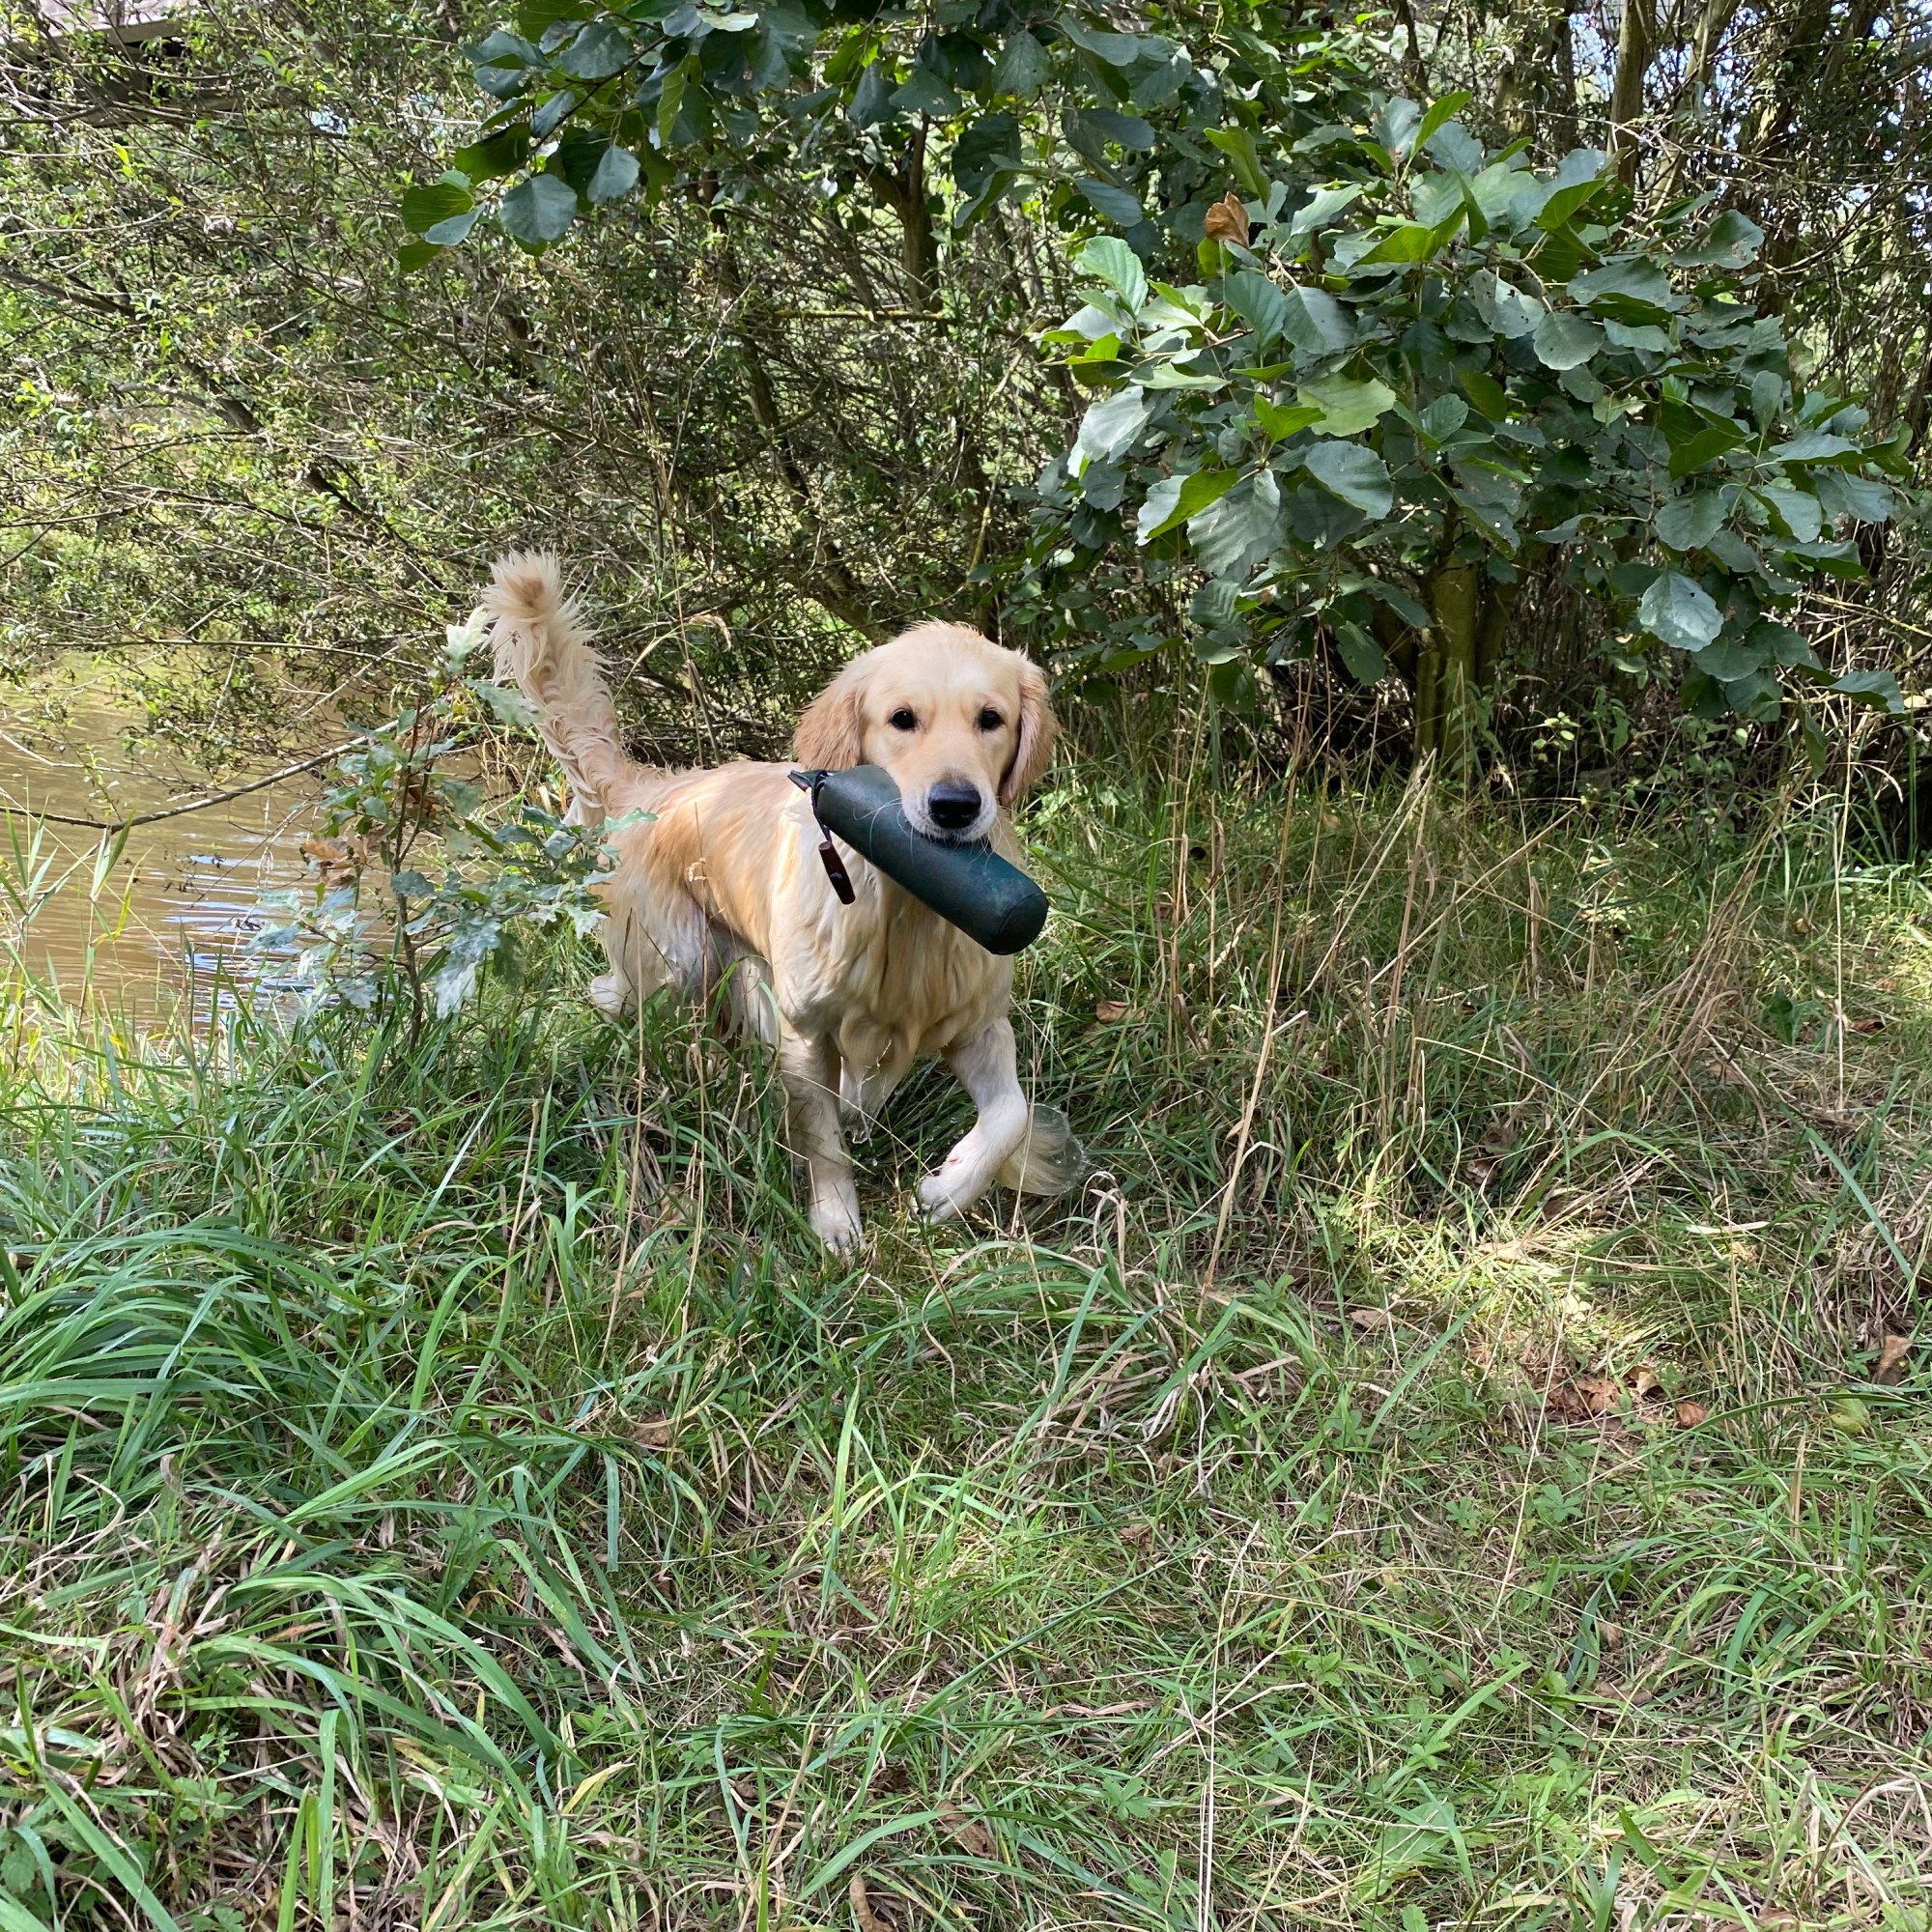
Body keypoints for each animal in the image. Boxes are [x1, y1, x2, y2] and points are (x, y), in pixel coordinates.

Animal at [481, 552, 1083, 1249]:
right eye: (903, 719)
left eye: (991, 719)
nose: (955, 806)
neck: (905, 908)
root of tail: (652, 787)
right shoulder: (806, 1030)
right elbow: (820, 1136)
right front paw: (836, 1222)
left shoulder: (977, 1022)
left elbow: (1011, 1113)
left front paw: (951, 1187)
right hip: (679, 962)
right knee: (624, 996)